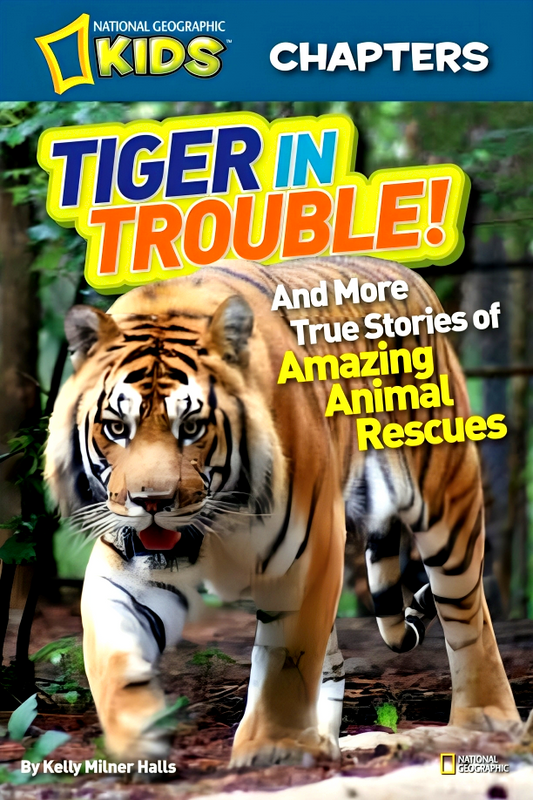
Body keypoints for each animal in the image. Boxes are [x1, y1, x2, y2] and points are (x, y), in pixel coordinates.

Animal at [45, 256, 520, 767]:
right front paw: (137, 733)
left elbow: (287, 662)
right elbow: (111, 654)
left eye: (191, 427)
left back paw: (483, 720)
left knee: (467, 614)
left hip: (447, 500)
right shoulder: (124, 564)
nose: (152, 503)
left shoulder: (307, 554)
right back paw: (327, 741)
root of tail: (406, 274)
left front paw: (272, 746)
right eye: (117, 428)